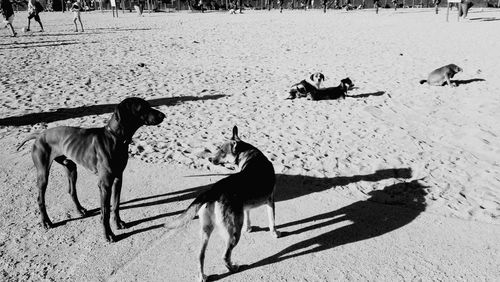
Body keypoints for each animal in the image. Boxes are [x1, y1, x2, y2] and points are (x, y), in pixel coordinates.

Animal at [16, 97, 165, 242]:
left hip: (71, 168)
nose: (163, 115)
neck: (115, 137)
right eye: (143, 107)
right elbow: (105, 212)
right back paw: (46, 221)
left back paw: (80, 210)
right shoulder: (105, 184)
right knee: (40, 198)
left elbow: (116, 205)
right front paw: (108, 234)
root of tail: (40, 134)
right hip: (43, 173)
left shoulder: (118, 178)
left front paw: (118, 223)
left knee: (72, 191)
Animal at [165, 126, 280, 282]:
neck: (250, 155)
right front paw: (274, 233)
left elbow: (248, 216)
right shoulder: (270, 200)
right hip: (233, 232)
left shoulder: (246, 206)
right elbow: (272, 220)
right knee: (225, 256)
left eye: (221, 150)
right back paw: (233, 268)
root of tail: (213, 190)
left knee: (200, 255)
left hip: (206, 229)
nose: (209, 159)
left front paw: (249, 228)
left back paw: (202, 276)